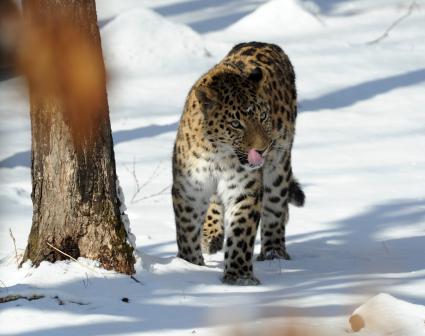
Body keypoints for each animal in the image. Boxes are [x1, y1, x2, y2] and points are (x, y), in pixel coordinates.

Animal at [171, 40, 304, 284]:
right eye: (236, 124)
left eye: (263, 117)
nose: (263, 148)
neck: (217, 154)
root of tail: (263, 42)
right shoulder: (189, 187)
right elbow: (187, 228)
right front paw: (189, 265)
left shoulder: (245, 188)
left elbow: (241, 233)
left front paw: (239, 277)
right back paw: (211, 235)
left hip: (280, 165)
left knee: (276, 206)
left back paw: (274, 252)